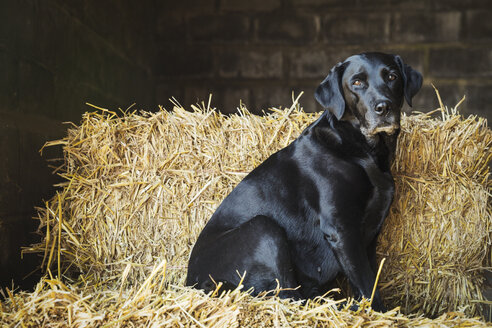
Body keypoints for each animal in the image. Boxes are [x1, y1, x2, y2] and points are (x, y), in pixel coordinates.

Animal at [185, 52, 422, 310]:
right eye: (357, 82)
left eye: (392, 77)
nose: (383, 107)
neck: (362, 151)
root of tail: (189, 283)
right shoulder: (340, 228)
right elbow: (366, 281)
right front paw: (377, 312)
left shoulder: (370, 233)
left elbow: (369, 279)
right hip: (263, 228)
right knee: (287, 296)